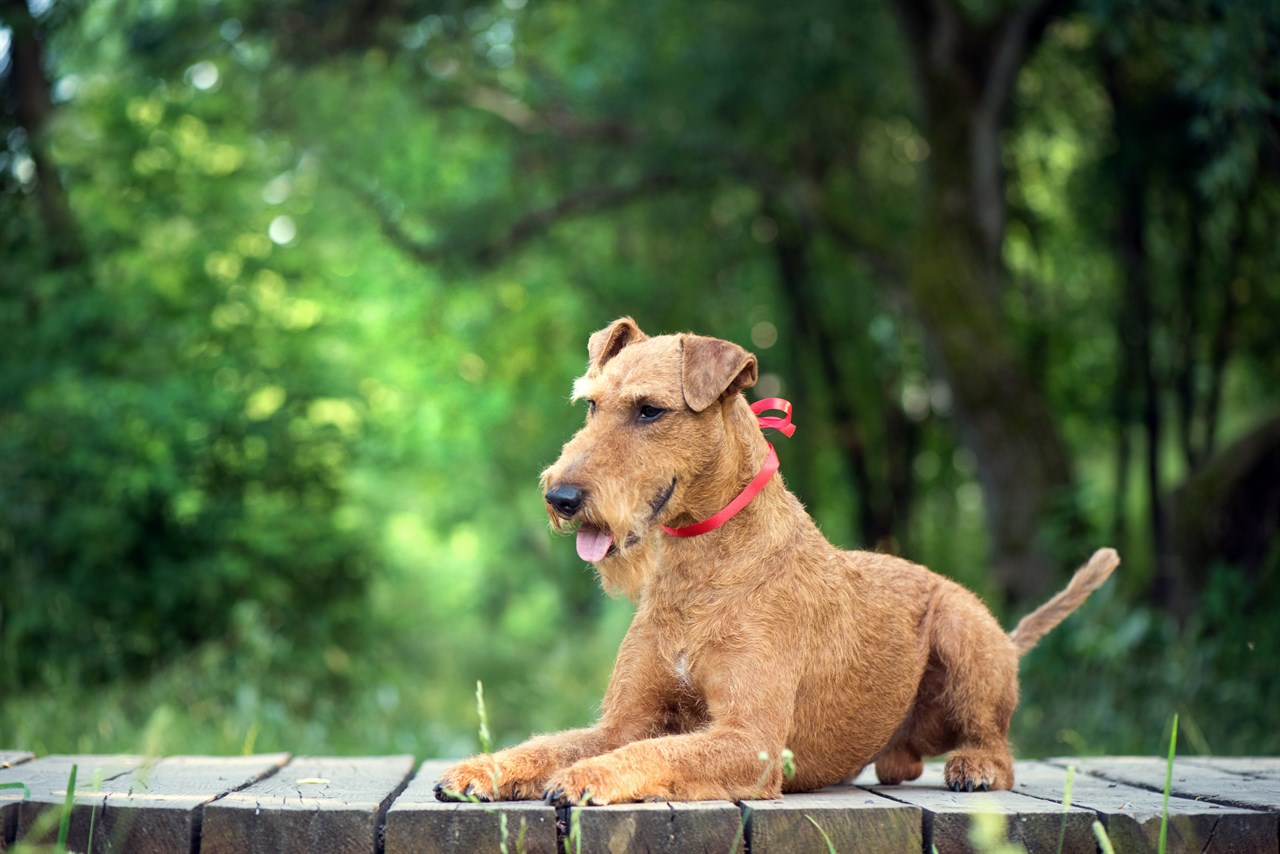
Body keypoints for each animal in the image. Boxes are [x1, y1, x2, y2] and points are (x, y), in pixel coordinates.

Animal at [440, 317, 1121, 804]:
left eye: (649, 409)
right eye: (590, 405)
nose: (561, 497)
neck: (703, 565)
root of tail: (1006, 639)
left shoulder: (752, 739)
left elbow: (650, 754)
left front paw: (588, 778)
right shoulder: (624, 720)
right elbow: (552, 745)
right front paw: (481, 769)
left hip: (962, 631)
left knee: (997, 745)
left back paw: (973, 765)